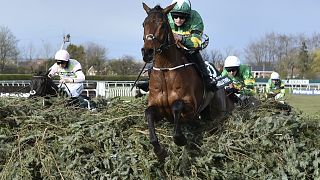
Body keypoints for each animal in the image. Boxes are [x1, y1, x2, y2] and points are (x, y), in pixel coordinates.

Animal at [142, 2, 230, 160]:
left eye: (162, 24)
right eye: (144, 24)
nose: (148, 52)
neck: (165, 70)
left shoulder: (191, 107)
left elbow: (177, 106)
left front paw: (180, 138)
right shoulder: (158, 108)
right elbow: (148, 113)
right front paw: (159, 150)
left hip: (218, 110)